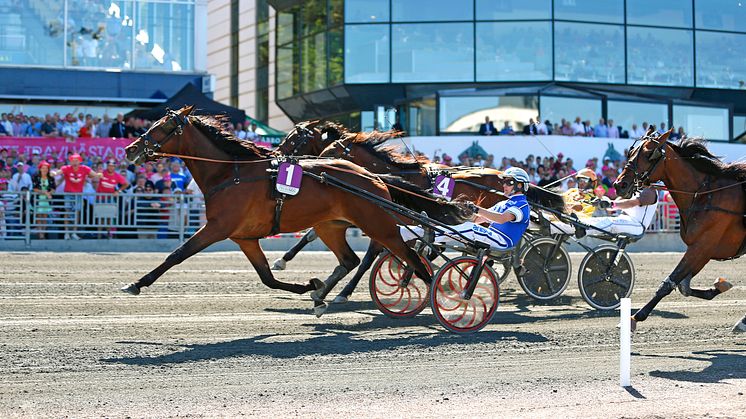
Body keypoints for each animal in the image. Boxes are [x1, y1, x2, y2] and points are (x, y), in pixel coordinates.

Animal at [120, 105, 470, 310]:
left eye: (161, 127)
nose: (130, 149)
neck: (231, 173)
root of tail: (372, 176)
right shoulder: (244, 237)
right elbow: (267, 278)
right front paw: (310, 286)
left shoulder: (218, 228)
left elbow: (176, 254)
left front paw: (135, 284)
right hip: (334, 225)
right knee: (352, 258)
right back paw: (325, 294)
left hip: (379, 223)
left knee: (410, 256)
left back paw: (441, 296)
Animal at [612, 130, 744, 334]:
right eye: (631, 152)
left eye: (649, 153)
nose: (620, 185)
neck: (704, 195)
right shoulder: (701, 250)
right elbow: (683, 286)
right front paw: (719, 286)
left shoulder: (703, 245)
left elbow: (668, 283)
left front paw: (634, 318)